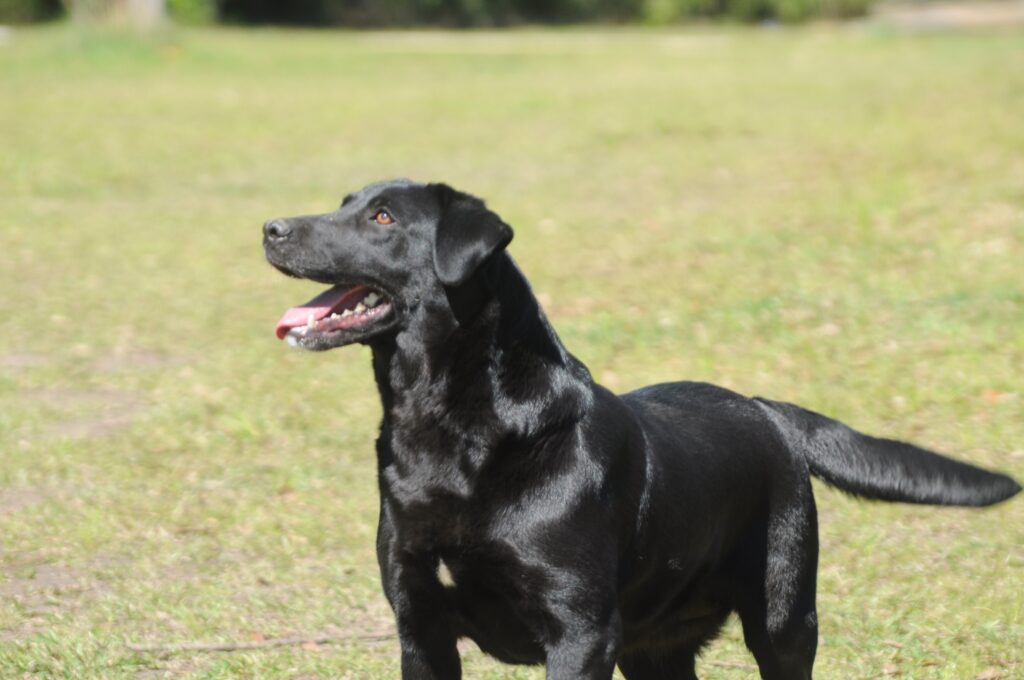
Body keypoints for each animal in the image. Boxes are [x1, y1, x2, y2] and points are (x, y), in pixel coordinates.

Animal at [262, 180, 1015, 680]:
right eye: (343, 202)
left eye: (383, 217)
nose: (270, 227)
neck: (450, 431)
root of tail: (766, 409)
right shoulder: (419, 626)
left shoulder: (580, 633)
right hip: (657, 648)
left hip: (782, 617)